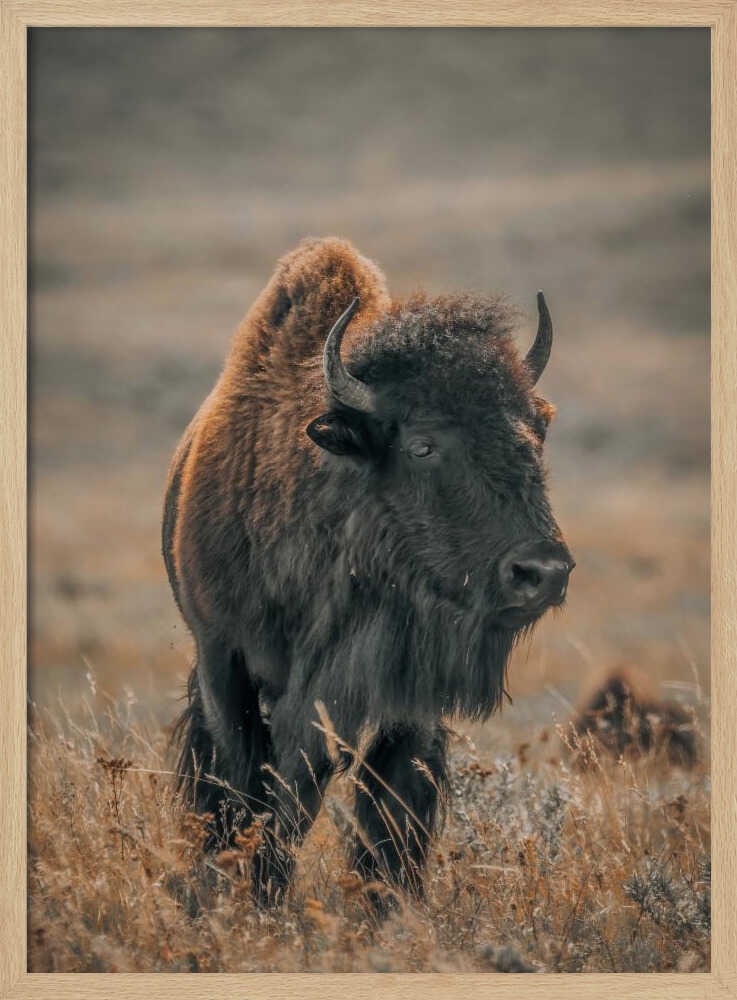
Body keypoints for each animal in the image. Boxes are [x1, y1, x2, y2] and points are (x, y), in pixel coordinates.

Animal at [163, 237, 573, 906]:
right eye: (422, 444)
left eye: (536, 432)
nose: (542, 572)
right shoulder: (225, 659)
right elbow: (252, 787)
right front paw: (249, 892)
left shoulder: (404, 697)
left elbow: (390, 809)